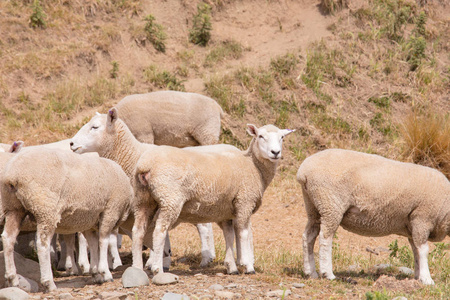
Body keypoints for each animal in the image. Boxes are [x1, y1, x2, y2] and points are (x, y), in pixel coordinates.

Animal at [0, 148, 133, 290]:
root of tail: (12, 175)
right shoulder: (110, 211)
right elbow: (103, 241)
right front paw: (105, 272)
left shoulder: (89, 221)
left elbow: (92, 243)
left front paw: (95, 273)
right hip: (46, 209)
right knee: (42, 244)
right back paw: (49, 282)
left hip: (14, 209)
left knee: (8, 238)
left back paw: (12, 279)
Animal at [132, 111, 296, 276]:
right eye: (261, 136)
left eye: (282, 137)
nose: (275, 152)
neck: (253, 166)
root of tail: (146, 165)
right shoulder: (245, 201)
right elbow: (244, 233)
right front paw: (248, 265)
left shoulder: (227, 209)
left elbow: (230, 235)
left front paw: (232, 266)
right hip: (170, 199)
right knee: (159, 231)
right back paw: (157, 268)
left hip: (143, 200)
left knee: (138, 231)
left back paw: (137, 267)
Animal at [296, 149, 450, 284]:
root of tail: (303, 172)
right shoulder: (422, 219)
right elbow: (423, 251)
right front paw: (427, 279)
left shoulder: (412, 227)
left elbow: (416, 251)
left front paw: (418, 277)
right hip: (331, 205)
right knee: (325, 238)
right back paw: (328, 273)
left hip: (313, 207)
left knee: (308, 237)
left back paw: (311, 272)